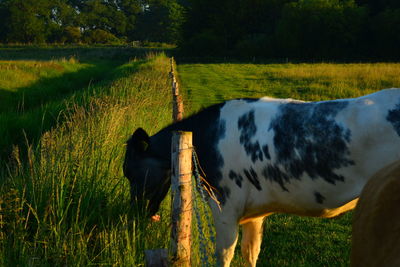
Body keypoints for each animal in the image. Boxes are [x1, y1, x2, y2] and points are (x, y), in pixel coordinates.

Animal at [123, 89, 400, 266]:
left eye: (129, 171)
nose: (134, 213)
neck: (206, 137)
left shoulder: (225, 207)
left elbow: (224, 255)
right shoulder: (253, 213)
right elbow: (250, 253)